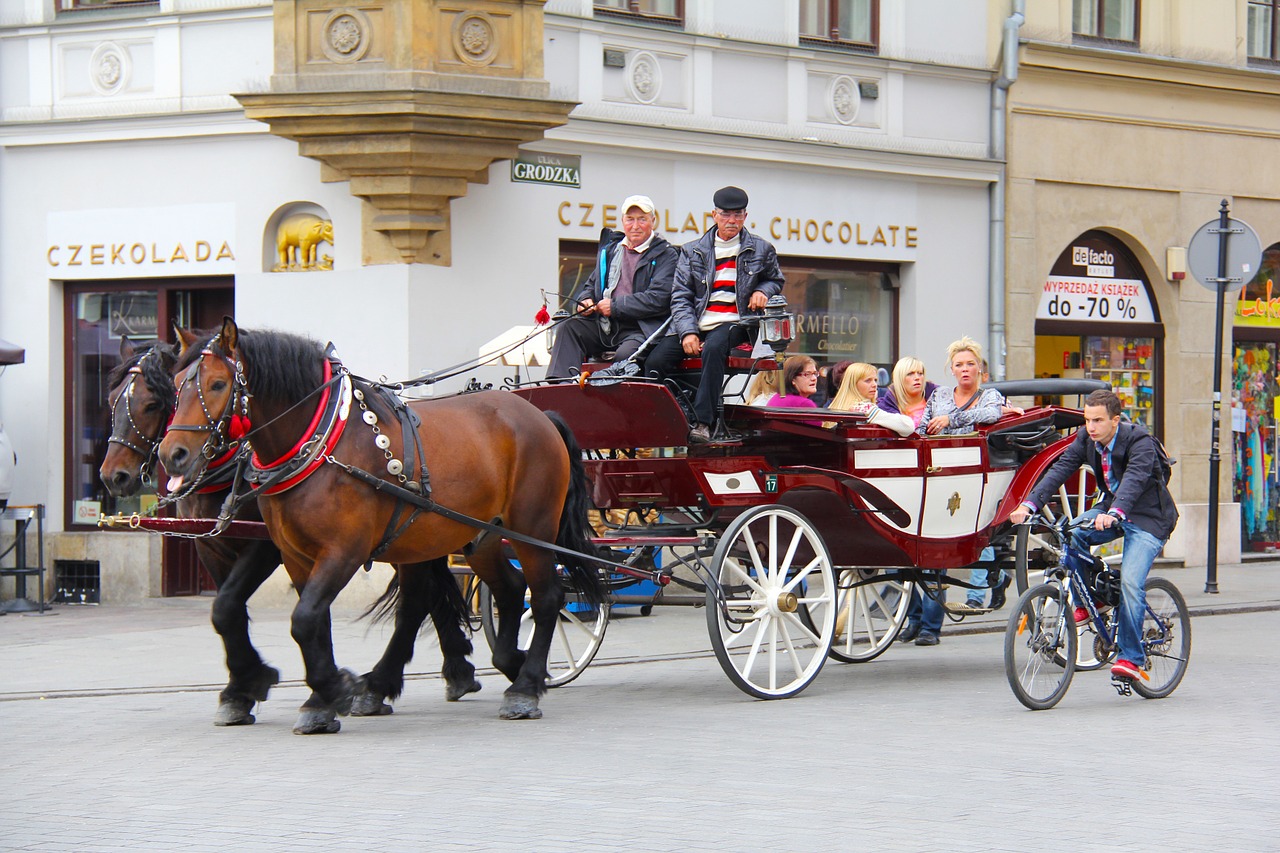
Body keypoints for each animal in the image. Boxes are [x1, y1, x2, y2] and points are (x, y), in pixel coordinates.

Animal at [158, 318, 599, 732]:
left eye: (218, 384)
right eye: (177, 384)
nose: (171, 455)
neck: (323, 443)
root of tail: (539, 414)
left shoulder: (341, 551)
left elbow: (303, 619)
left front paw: (333, 689)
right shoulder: (295, 555)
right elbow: (304, 620)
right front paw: (315, 698)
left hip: (533, 529)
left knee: (546, 597)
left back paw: (524, 686)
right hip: (479, 535)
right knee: (506, 590)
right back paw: (501, 664)